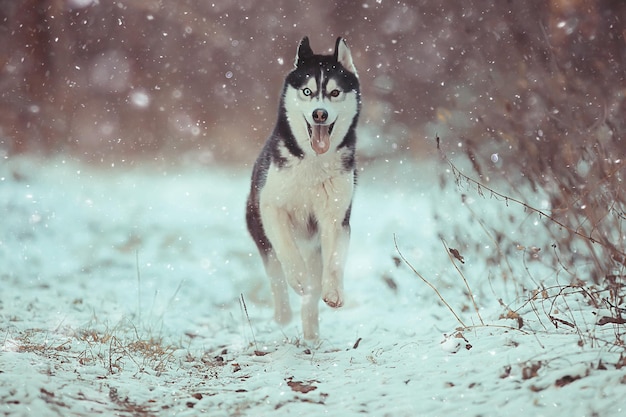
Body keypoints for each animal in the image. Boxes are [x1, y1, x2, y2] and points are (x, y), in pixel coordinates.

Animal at [245, 37, 360, 340]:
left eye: (334, 92)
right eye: (307, 91)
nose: (320, 114)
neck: (313, 162)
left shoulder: (336, 216)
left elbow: (334, 262)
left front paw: (334, 292)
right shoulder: (271, 207)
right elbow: (286, 248)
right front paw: (296, 276)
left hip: (313, 248)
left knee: (313, 286)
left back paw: (311, 331)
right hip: (257, 227)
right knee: (275, 272)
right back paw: (284, 313)